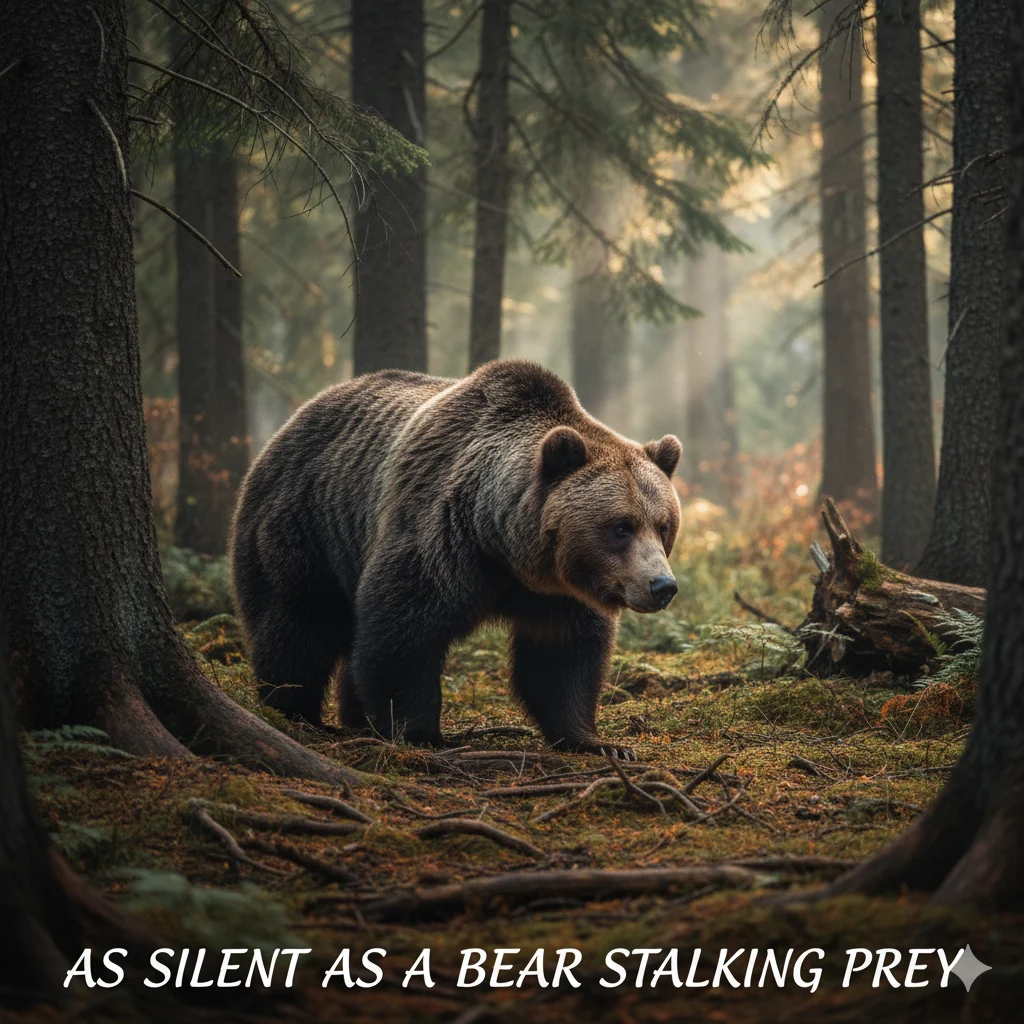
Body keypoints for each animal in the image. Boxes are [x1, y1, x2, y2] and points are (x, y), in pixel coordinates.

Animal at [230, 359, 681, 758]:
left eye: (663, 526)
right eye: (621, 526)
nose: (663, 586)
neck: (504, 545)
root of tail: (291, 422)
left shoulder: (559, 590)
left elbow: (562, 656)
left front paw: (598, 742)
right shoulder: (440, 533)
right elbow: (404, 629)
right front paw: (419, 733)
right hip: (307, 525)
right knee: (298, 621)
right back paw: (293, 711)